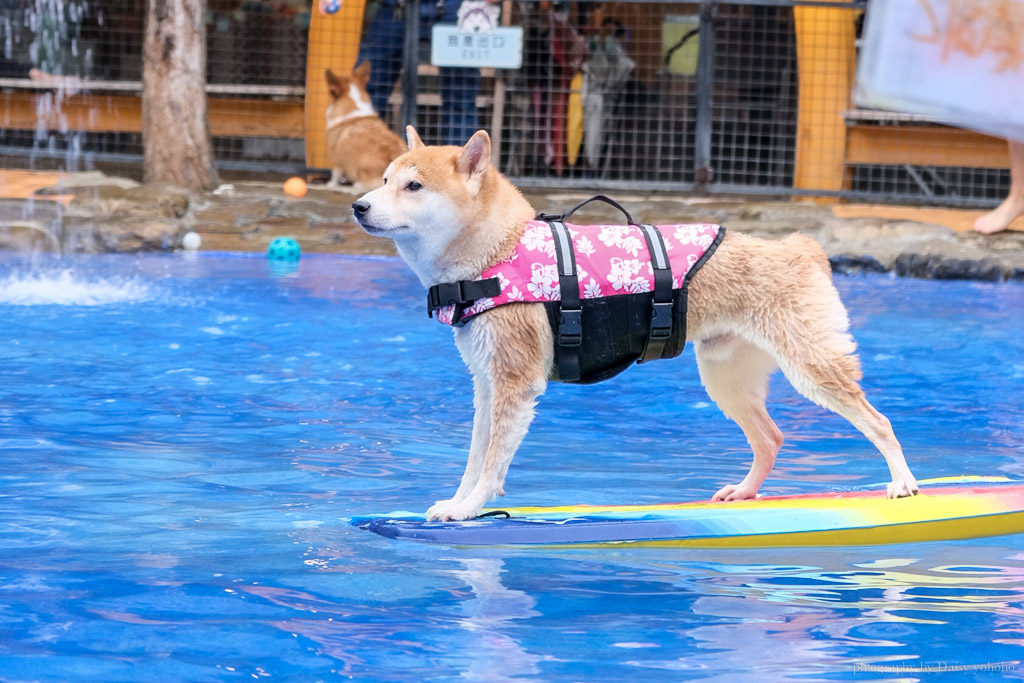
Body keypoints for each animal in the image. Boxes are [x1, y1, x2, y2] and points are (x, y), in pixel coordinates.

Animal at [352, 127, 921, 520]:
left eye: (414, 186)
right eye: (383, 180)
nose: (358, 206)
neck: (499, 251)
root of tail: (798, 249)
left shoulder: (514, 383)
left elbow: (491, 462)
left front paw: (469, 509)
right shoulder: (487, 384)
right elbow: (474, 456)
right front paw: (459, 501)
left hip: (811, 366)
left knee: (879, 422)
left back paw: (903, 483)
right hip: (726, 379)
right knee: (771, 438)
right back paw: (745, 492)